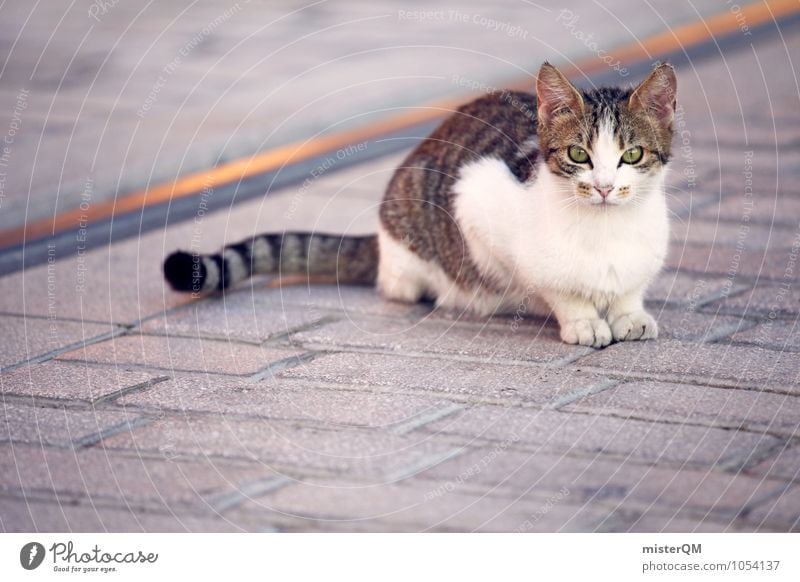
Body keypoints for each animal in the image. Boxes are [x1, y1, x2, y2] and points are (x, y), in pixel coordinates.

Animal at [162, 61, 676, 350]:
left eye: (632, 155)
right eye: (578, 155)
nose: (605, 187)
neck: (605, 232)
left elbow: (629, 289)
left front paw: (628, 314)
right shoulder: (475, 198)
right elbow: (555, 287)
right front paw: (583, 320)